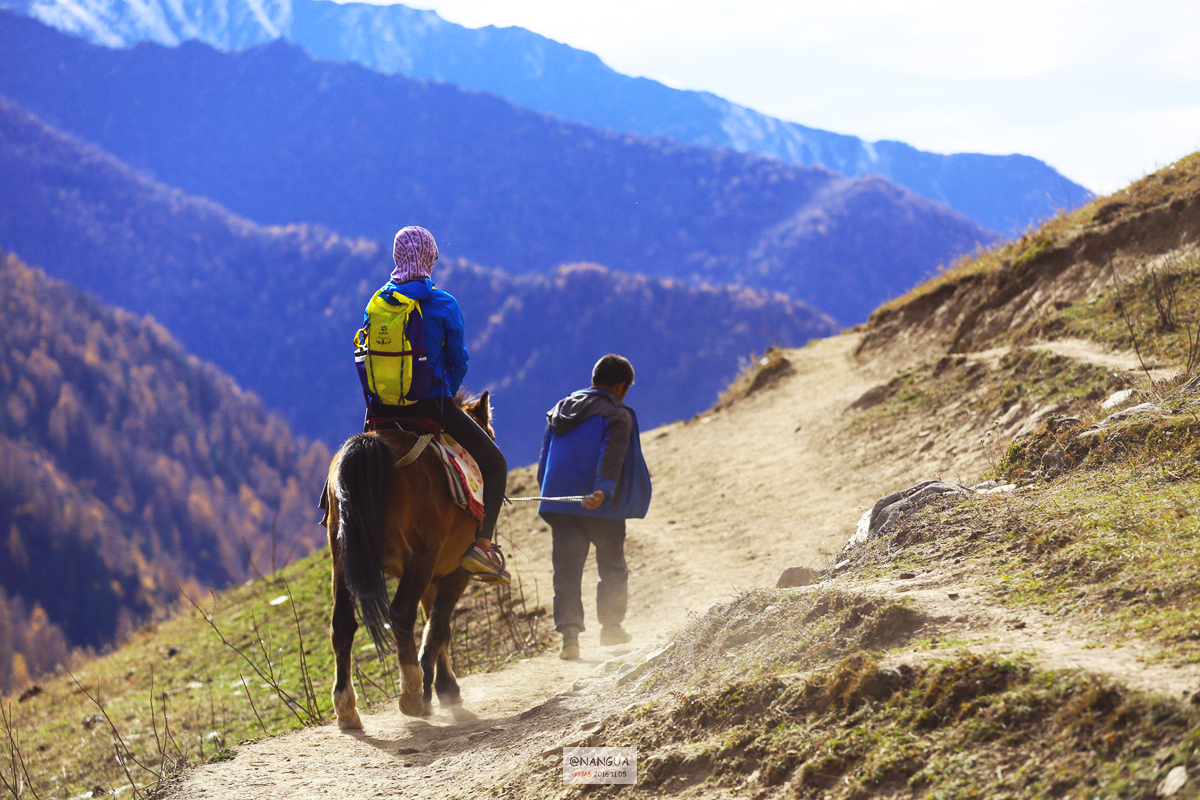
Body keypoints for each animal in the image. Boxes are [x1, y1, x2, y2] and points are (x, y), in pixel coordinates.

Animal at [324, 388, 492, 724]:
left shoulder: (432, 577)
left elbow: (435, 627)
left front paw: (443, 687)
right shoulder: (455, 573)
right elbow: (438, 627)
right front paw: (437, 690)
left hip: (342, 561)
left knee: (342, 623)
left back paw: (346, 708)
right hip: (422, 557)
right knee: (401, 613)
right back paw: (413, 694)